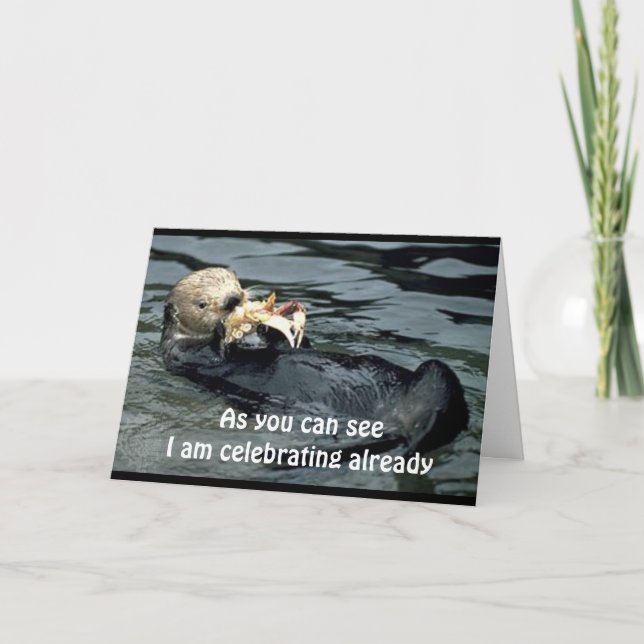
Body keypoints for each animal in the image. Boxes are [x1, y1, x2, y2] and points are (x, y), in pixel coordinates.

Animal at [161, 267, 469, 456]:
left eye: (234, 284)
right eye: (202, 304)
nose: (234, 300)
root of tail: (391, 424)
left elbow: (288, 344)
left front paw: (269, 325)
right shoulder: (183, 355)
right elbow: (212, 357)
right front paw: (230, 328)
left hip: (435, 372)